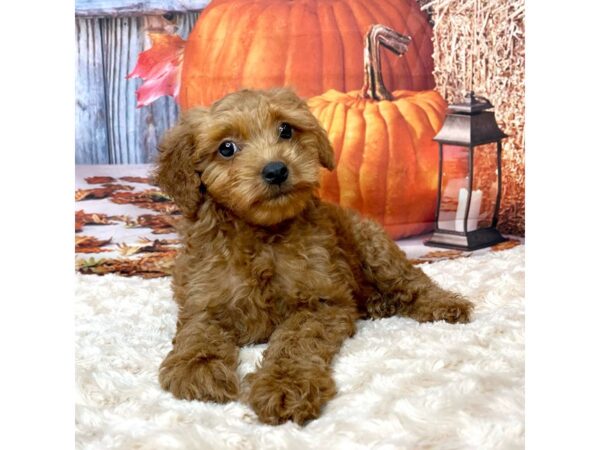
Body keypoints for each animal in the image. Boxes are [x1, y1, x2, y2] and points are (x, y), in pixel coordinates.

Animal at [152, 88, 472, 426]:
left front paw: (285, 385)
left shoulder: (321, 303)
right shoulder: (203, 298)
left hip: (374, 247)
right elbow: (198, 332)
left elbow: (297, 342)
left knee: (412, 281)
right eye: (226, 148)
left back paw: (445, 305)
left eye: (285, 130)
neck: (262, 233)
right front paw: (197, 367)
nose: (276, 169)